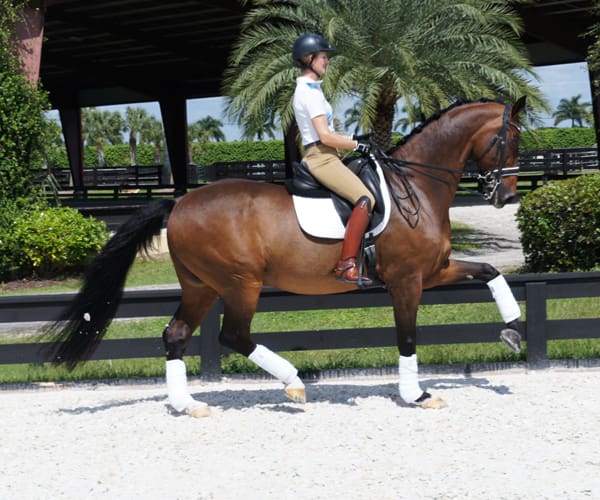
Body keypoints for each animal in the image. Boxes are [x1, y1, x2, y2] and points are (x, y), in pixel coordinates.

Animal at [45, 97, 526, 417]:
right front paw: (418, 395)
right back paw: (293, 383)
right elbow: (407, 337)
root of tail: (179, 203)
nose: (505, 196)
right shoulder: (407, 281)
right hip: (241, 283)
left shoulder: (434, 271)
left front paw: (513, 331)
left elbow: (489, 272)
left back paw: (188, 405)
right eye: (510, 139)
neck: (418, 188)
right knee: (232, 335)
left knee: (176, 334)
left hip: (202, 285)